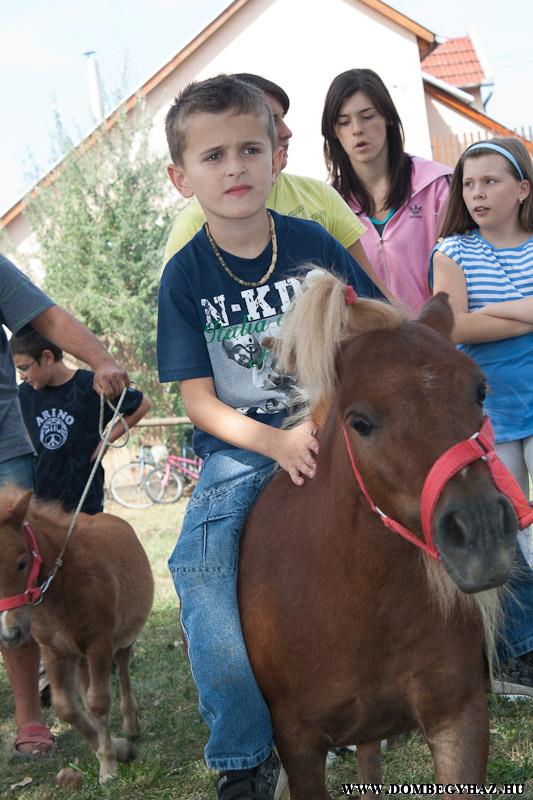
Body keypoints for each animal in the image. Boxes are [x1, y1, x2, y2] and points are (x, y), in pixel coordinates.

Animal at [0, 487, 154, 783]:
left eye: (22, 564)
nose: (9, 632)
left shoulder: (99, 644)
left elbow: (99, 702)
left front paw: (109, 766)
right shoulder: (53, 651)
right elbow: (67, 707)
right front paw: (116, 750)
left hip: (121, 641)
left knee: (123, 670)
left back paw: (131, 725)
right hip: (78, 655)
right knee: (84, 688)